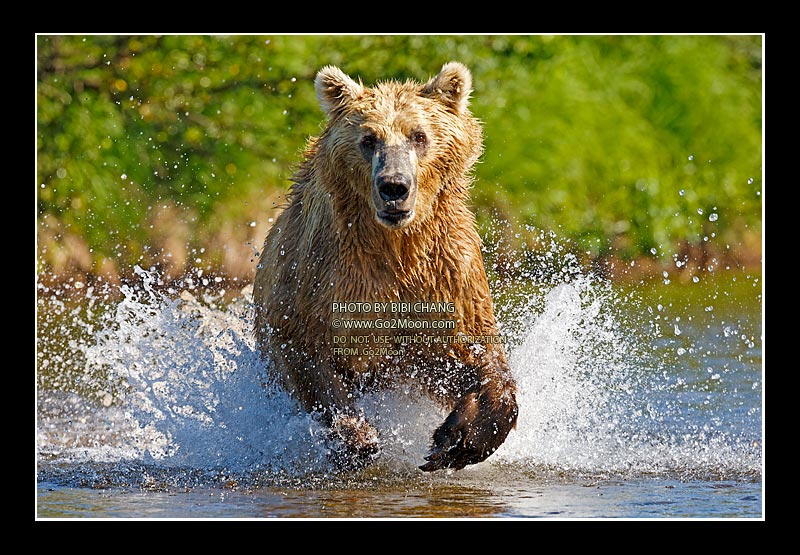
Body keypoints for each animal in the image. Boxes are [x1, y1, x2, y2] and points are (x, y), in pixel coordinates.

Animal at [253, 62, 518, 471]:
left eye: (419, 135)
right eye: (368, 139)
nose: (394, 186)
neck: (396, 245)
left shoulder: (444, 274)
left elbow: (472, 352)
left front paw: (455, 440)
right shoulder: (324, 276)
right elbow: (307, 352)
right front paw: (357, 437)